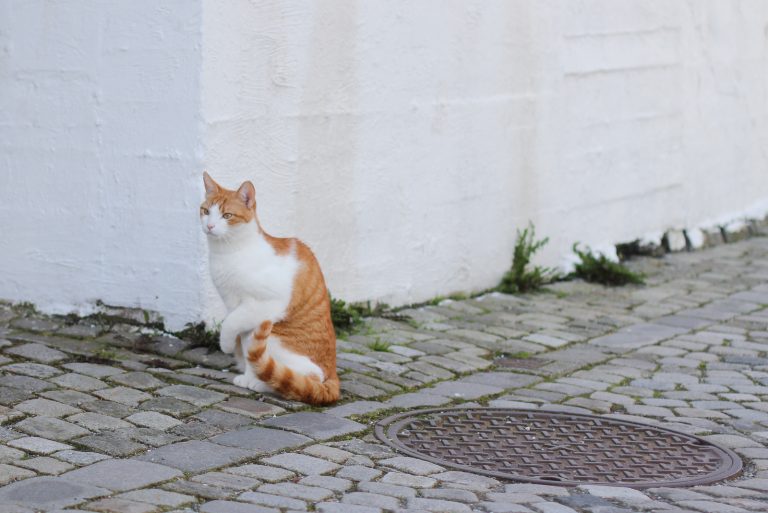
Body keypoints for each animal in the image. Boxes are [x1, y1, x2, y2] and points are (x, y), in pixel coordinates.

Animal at [201, 172, 340, 404]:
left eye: (227, 215)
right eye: (205, 211)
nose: (209, 226)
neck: (228, 252)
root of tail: (333, 373)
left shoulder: (262, 305)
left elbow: (229, 324)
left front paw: (227, 346)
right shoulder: (237, 308)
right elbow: (248, 348)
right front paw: (248, 374)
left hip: (275, 335)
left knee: (308, 378)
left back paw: (265, 384)